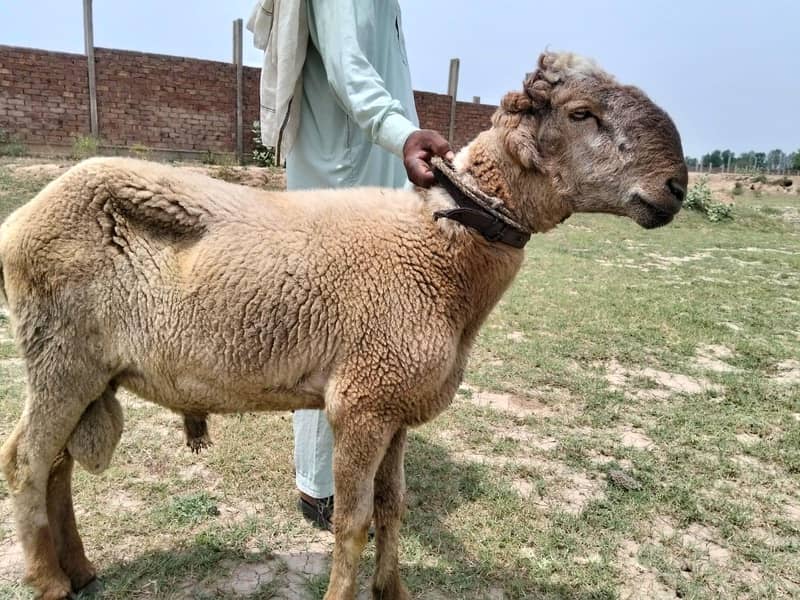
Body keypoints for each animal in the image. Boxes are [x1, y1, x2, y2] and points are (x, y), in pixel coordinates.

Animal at [0, 51, 687, 600]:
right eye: (580, 113)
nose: (677, 186)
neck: (441, 247)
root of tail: (24, 217)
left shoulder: (397, 407)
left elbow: (393, 507)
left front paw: (394, 589)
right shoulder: (361, 402)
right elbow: (353, 524)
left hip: (83, 370)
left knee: (56, 467)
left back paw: (81, 570)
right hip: (60, 355)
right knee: (27, 463)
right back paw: (51, 582)